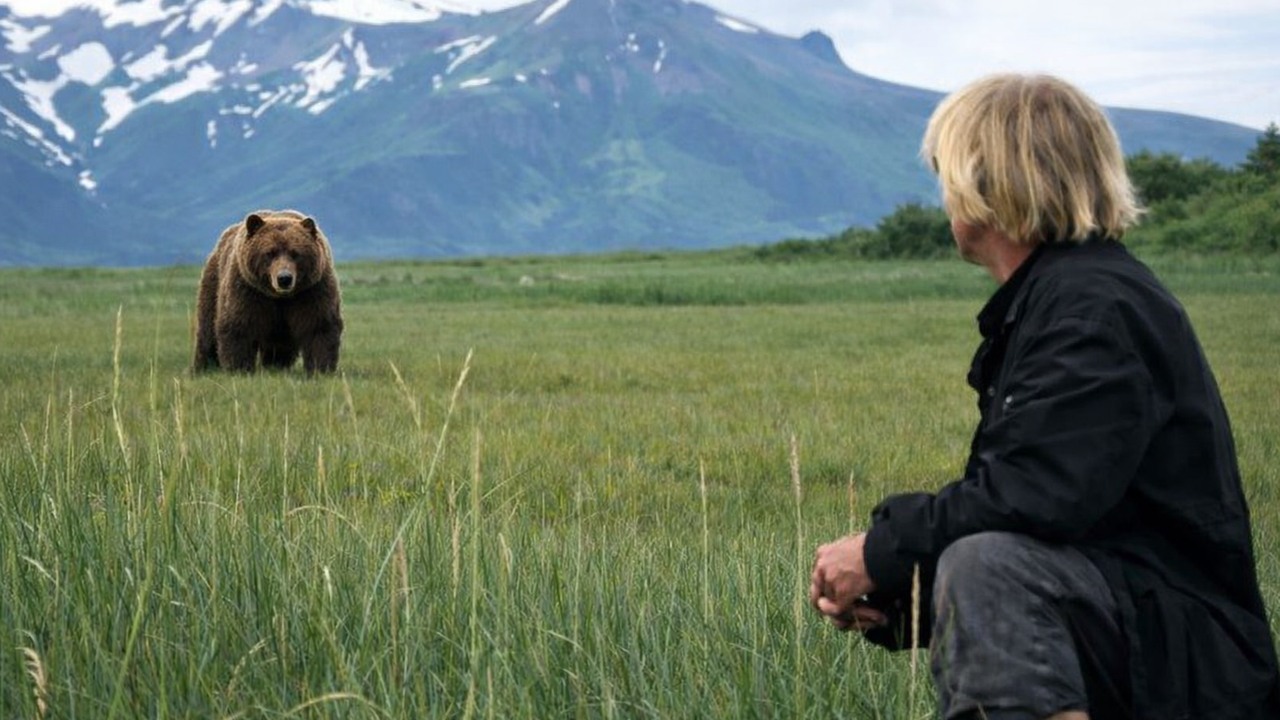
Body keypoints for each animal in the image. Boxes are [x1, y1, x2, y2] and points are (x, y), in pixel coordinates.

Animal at [192, 210, 343, 374]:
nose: (284, 278)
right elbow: (239, 326)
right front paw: (239, 368)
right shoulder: (248, 290)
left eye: (295, 253)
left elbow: (319, 326)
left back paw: (276, 366)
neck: (279, 297)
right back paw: (203, 367)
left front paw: (320, 369)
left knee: (279, 346)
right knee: (207, 331)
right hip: (214, 283)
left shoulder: (311, 292)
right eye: (270, 253)